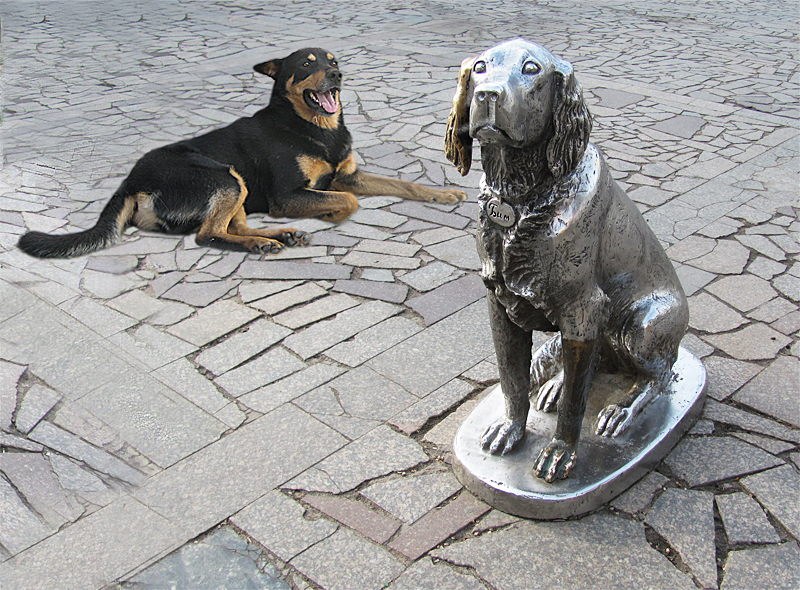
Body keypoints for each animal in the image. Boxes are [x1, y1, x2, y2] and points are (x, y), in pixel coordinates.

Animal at [18, 46, 466, 260]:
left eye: (333, 60)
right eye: (307, 65)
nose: (338, 74)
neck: (309, 127)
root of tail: (131, 180)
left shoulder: (348, 174)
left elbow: (404, 184)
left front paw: (443, 194)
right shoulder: (290, 195)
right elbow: (348, 201)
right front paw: (330, 214)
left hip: (237, 186)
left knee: (231, 225)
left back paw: (278, 236)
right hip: (223, 175)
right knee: (208, 234)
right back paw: (264, 242)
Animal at [444, 39, 688, 484]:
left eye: (531, 68)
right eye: (481, 67)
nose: (487, 96)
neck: (521, 199)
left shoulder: (583, 308)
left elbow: (576, 404)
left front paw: (561, 452)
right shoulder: (499, 304)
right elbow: (512, 380)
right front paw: (510, 428)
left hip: (641, 324)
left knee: (661, 375)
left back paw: (622, 410)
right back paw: (555, 385)